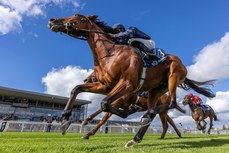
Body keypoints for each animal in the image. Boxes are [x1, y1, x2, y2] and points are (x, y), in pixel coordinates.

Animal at [47, 14, 216, 145]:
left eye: (77, 16)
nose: (52, 20)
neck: (110, 53)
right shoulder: (105, 86)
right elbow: (77, 89)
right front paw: (65, 120)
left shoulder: (127, 84)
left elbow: (104, 105)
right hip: (155, 91)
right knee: (159, 113)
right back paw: (137, 137)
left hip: (173, 77)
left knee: (172, 104)